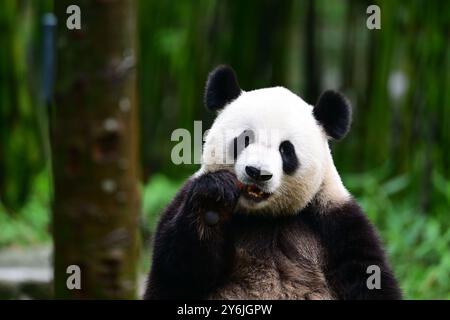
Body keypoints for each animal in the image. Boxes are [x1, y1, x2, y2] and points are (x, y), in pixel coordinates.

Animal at [144, 65, 400, 300]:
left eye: (286, 150)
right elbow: (180, 269)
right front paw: (213, 200)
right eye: (245, 139)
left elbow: (370, 278)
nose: (257, 173)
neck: (266, 218)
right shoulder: (183, 200)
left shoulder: (336, 222)